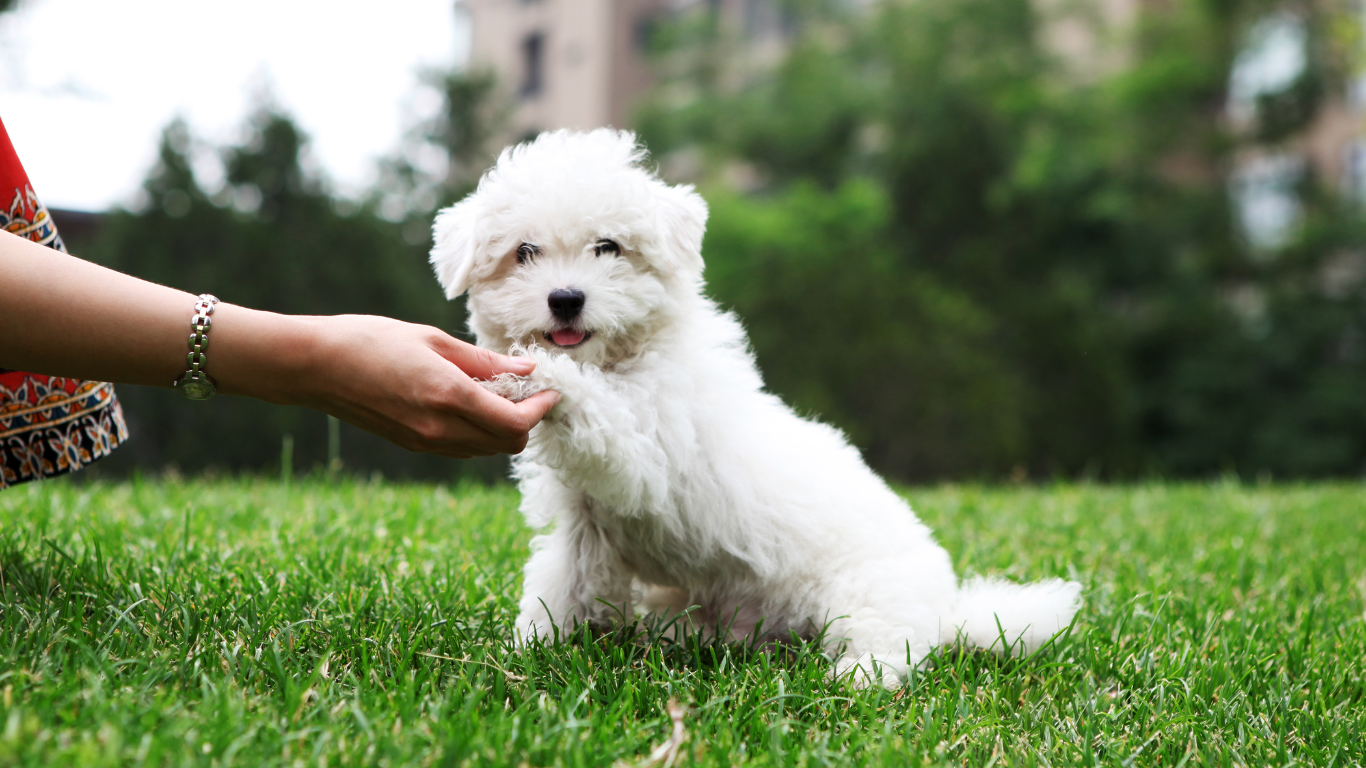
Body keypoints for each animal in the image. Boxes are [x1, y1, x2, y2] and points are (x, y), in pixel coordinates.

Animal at [431, 128, 1081, 683]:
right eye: (525, 252)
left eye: (607, 246)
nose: (566, 298)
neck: (622, 360)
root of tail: (948, 611)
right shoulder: (584, 525)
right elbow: (560, 587)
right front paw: (532, 649)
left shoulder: (643, 451)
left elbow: (598, 413)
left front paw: (530, 374)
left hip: (868, 596)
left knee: (891, 648)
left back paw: (855, 677)